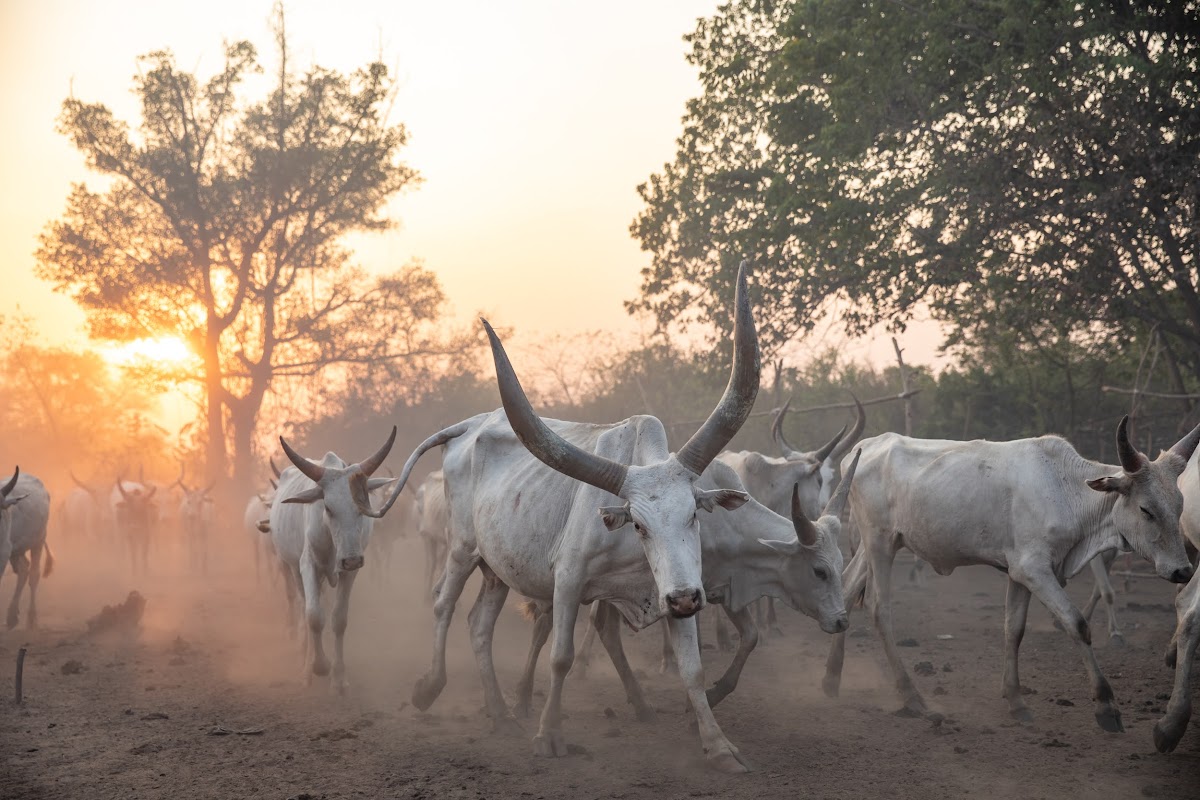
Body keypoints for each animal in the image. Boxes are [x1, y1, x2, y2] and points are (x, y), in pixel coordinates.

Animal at [0, 470, 54, 633]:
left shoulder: (3, 552)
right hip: (17, 550)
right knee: (24, 570)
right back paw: (12, 617)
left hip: (39, 540)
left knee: (34, 575)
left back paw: (31, 619)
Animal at [357, 266, 758, 772]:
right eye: (639, 525)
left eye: (694, 516)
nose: (686, 598)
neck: (629, 551)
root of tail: (469, 426)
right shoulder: (567, 581)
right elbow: (561, 657)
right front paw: (549, 736)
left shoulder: (675, 585)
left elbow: (692, 666)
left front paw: (718, 746)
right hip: (461, 549)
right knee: (442, 604)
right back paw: (431, 687)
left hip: (497, 567)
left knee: (479, 625)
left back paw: (501, 713)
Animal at [511, 450, 859, 719]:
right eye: (819, 571)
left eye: (840, 563)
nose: (842, 621)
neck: (728, 525)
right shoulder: (692, 591)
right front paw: (696, 703)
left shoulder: (721, 589)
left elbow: (750, 637)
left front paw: (714, 693)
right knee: (549, 624)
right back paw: (523, 698)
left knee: (597, 626)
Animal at [825, 422, 1200, 734]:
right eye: (1146, 509)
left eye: (1180, 505)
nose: (1183, 570)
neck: (1065, 490)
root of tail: (866, 447)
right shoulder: (1033, 569)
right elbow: (1077, 624)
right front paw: (1106, 707)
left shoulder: (1019, 574)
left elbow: (1014, 629)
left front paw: (1016, 700)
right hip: (880, 543)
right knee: (878, 607)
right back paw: (912, 697)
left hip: (875, 545)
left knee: (847, 588)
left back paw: (832, 677)